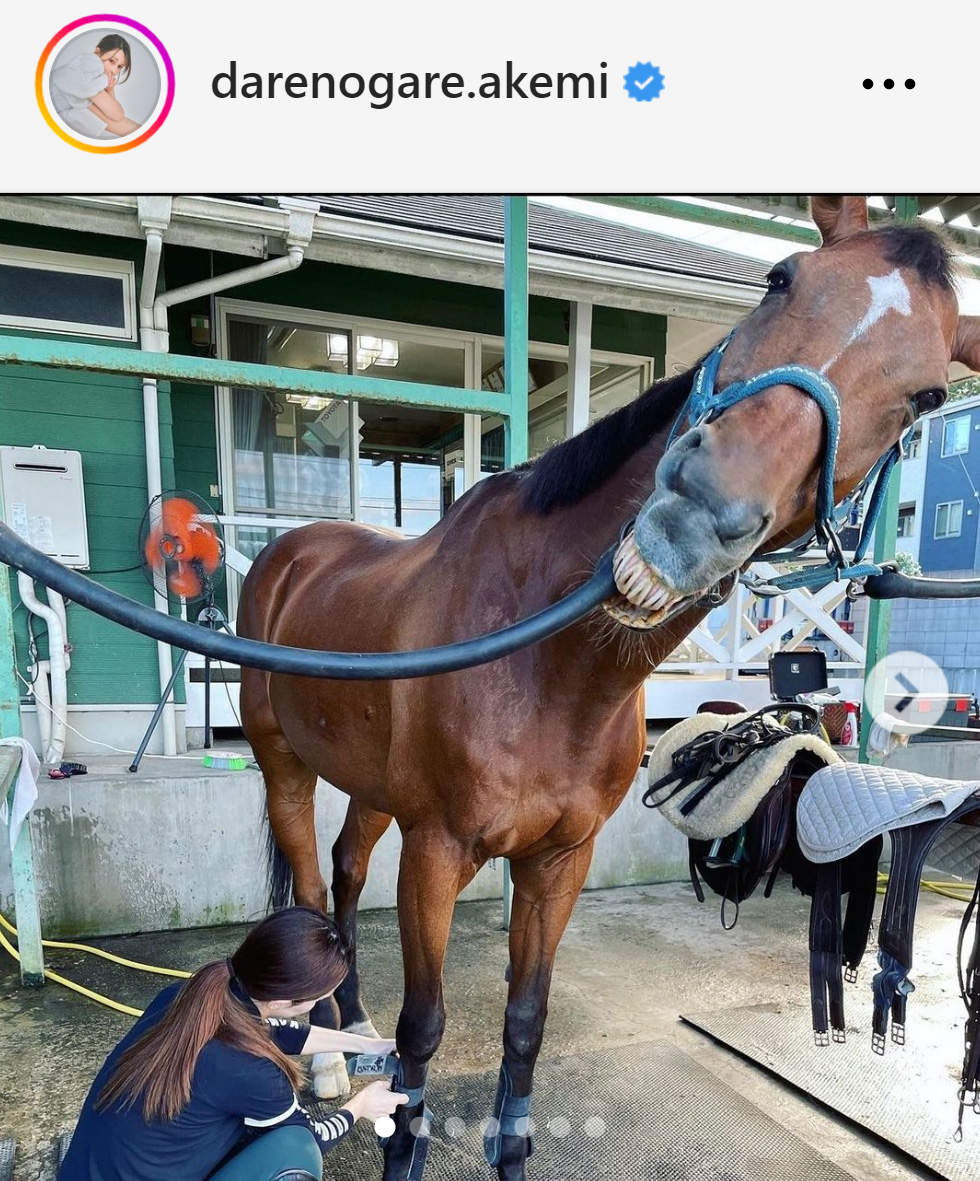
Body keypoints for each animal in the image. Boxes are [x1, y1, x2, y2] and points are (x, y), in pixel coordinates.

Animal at [237, 195, 980, 1181]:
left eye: (927, 397)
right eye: (781, 278)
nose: (697, 514)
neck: (550, 664)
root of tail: (288, 552)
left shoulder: (561, 860)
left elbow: (525, 1021)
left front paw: (509, 1151)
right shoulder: (437, 851)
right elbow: (427, 1025)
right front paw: (403, 1141)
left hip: (371, 784)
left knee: (347, 874)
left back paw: (349, 1023)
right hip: (284, 763)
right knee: (313, 892)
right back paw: (320, 1056)